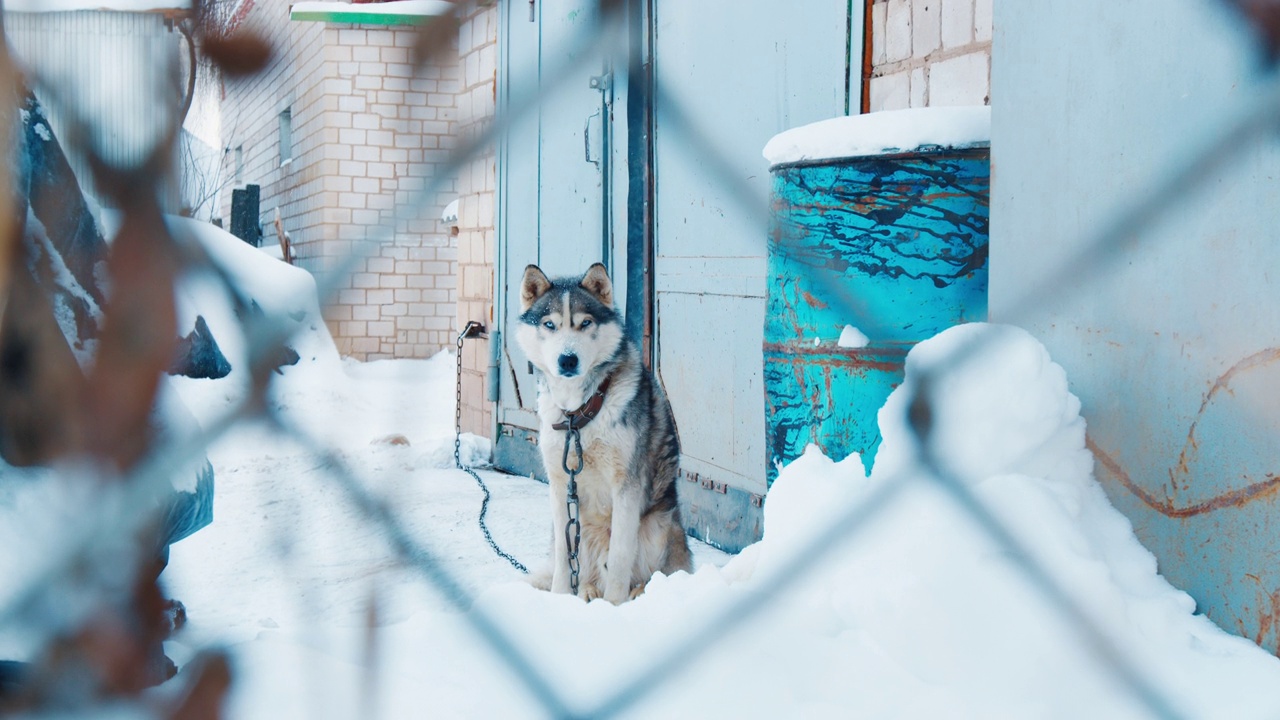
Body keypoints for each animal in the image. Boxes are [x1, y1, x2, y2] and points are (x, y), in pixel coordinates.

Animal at [514, 262, 691, 599]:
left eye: (585, 323)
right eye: (549, 324)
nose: (567, 359)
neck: (579, 415)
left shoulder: (627, 486)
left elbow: (620, 557)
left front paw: (613, 605)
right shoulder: (560, 487)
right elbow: (563, 557)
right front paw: (559, 598)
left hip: (657, 527)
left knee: (648, 572)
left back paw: (638, 592)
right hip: (583, 529)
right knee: (582, 566)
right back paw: (586, 590)